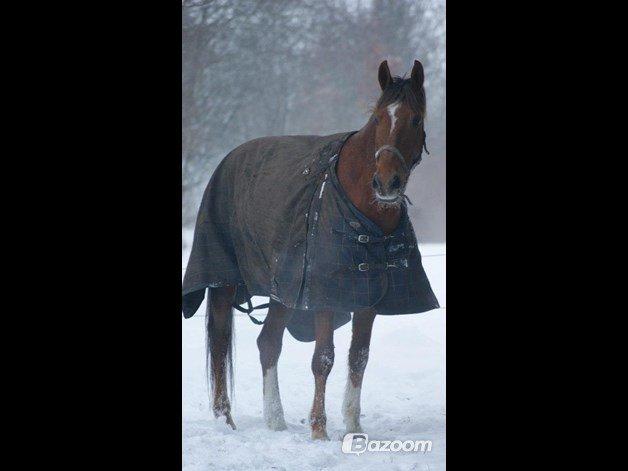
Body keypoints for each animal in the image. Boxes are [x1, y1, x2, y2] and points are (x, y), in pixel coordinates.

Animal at [183, 59, 436, 438]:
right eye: (378, 117)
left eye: (416, 119)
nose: (386, 183)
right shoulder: (323, 296)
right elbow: (324, 358)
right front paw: (319, 428)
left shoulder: (368, 298)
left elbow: (358, 357)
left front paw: (352, 426)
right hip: (224, 282)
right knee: (220, 341)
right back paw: (224, 418)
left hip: (283, 292)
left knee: (268, 343)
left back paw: (275, 419)